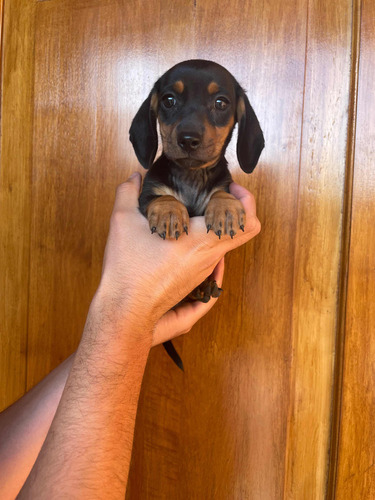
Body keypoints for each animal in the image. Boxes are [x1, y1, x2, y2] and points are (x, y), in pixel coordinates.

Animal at [131, 60, 266, 370]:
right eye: (169, 100)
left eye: (221, 103)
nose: (188, 139)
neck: (191, 175)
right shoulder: (145, 197)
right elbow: (164, 196)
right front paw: (169, 213)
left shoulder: (222, 186)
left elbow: (220, 192)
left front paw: (226, 210)